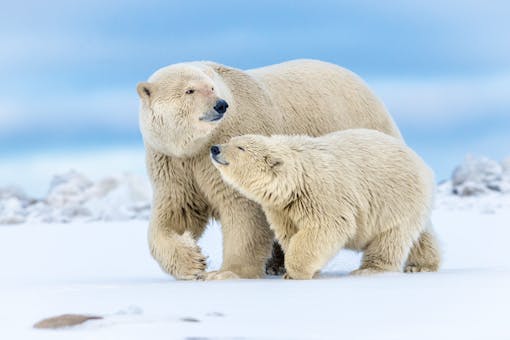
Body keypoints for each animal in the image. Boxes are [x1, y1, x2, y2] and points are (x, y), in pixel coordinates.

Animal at [136, 59, 406, 280]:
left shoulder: (229, 144)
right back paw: (277, 265)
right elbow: (175, 215)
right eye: (189, 90)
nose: (220, 105)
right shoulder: (173, 164)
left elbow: (243, 210)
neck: (196, 146)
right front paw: (193, 262)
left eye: (212, 88)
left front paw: (226, 272)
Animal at [211, 130, 442, 278]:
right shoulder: (282, 208)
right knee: (421, 236)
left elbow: (325, 227)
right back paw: (421, 265)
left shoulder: (322, 193)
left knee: (390, 237)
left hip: (395, 197)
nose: (215, 148)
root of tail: (425, 166)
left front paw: (295, 272)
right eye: (231, 139)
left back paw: (369, 269)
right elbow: (290, 233)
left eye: (240, 147)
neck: (296, 178)